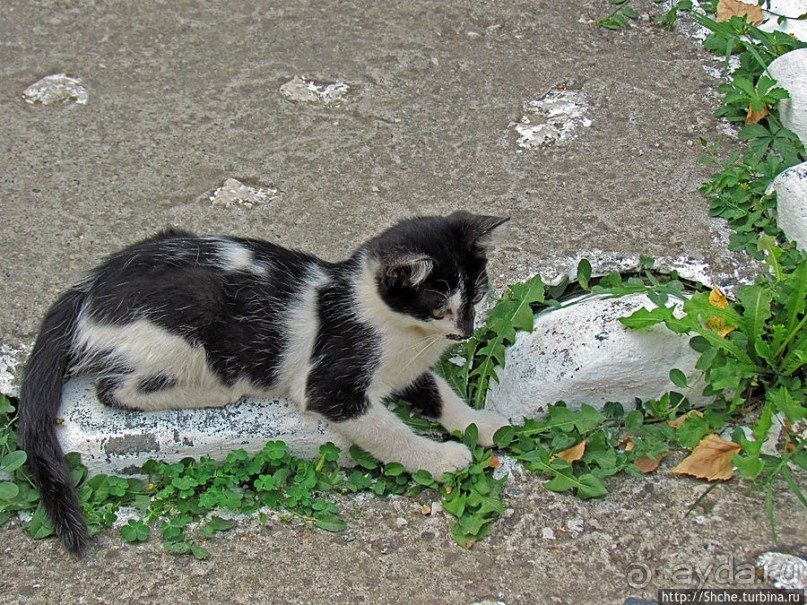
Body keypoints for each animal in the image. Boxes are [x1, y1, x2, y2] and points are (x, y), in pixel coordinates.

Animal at [17, 211, 512, 552]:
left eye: (478, 295)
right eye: (440, 307)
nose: (465, 332)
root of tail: (87, 288)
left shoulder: (404, 368)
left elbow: (437, 390)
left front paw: (480, 423)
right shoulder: (330, 382)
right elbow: (388, 431)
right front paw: (441, 458)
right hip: (182, 327)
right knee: (114, 389)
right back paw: (218, 389)